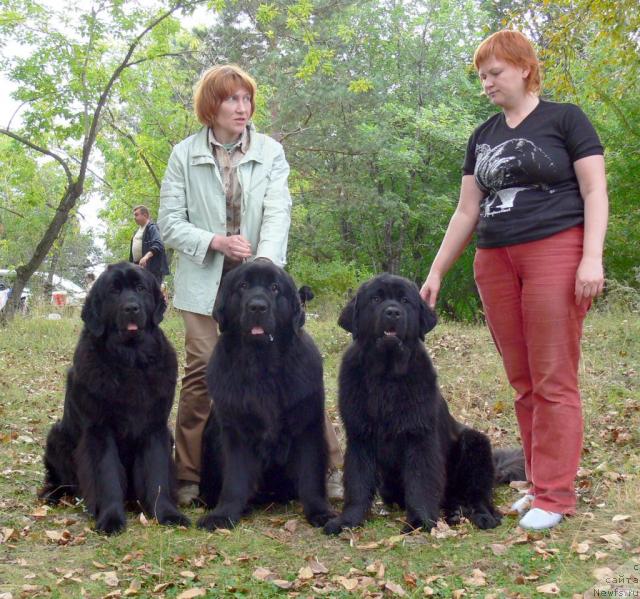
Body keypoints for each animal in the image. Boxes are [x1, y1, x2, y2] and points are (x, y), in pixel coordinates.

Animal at [39, 262, 189, 536]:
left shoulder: (155, 428)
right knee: (59, 479)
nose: (131, 308)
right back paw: (51, 495)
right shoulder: (99, 430)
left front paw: (167, 513)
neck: (130, 360)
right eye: (113, 291)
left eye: (140, 288)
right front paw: (110, 518)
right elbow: (106, 475)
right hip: (56, 436)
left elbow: (157, 474)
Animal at [198, 260, 332, 532]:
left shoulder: (307, 426)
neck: (262, 365)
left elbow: (311, 475)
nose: (257, 306)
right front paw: (224, 514)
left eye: (274, 288)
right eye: (243, 286)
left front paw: (319, 512)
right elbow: (235, 477)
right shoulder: (235, 430)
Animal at [328, 274, 502, 536]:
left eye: (404, 300)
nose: (392, 312)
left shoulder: (419, 436)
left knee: (478, 494)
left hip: (476, 443)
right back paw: (454, 513)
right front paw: (348, 520)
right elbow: (358, 481)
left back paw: (482, 516)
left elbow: (420, 481)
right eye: (376, 299)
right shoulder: (360, 437)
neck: (386, 378)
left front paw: (420, 521)